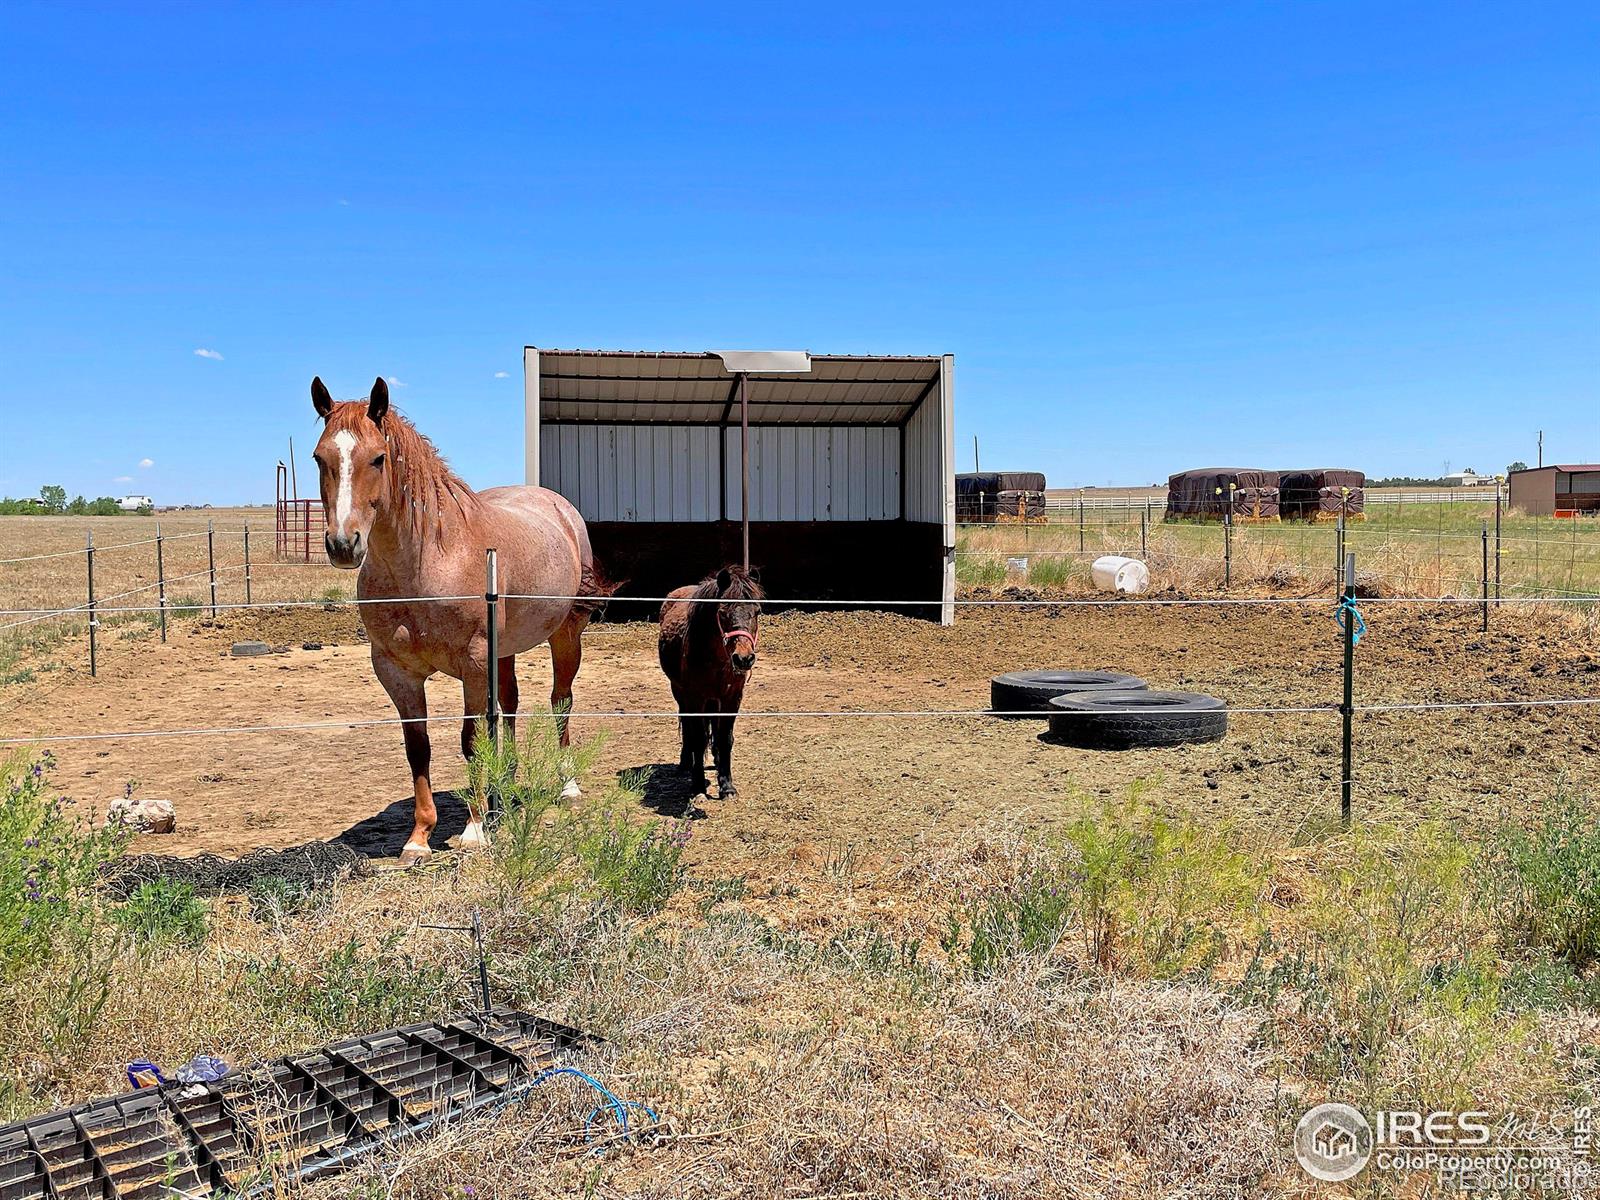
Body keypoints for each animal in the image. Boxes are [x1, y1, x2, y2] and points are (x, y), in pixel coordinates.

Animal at [312, 376, 604, 864]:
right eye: (320, 457)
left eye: (378, 457)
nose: (343, 545)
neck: (425, 562)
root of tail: (561, 510)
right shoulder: (396, 671)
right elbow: (419, 748)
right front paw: (419, 838)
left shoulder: (472, 664)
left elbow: (471, 739)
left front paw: (474, 829)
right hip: (504, 654)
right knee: (509, 706)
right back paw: (504, 786)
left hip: (565, 636)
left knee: (560, 701)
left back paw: (566, 786)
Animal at [659, 569, 764, 803]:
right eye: (722, 612)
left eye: (757, 611)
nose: (744, 659)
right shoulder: (695, 698)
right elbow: (698, 738)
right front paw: (698, 787)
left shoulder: (732, 698)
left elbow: (725, 738)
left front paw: (727, 786)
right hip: (680, 693)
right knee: (687, 728)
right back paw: (685, 762)